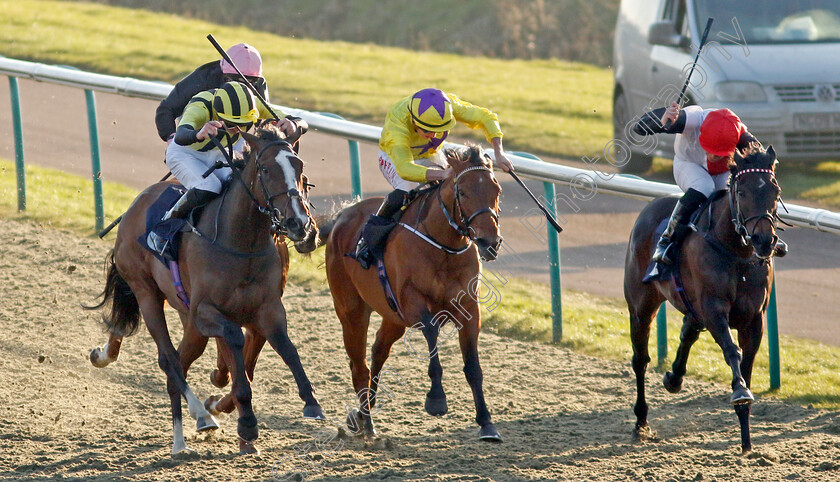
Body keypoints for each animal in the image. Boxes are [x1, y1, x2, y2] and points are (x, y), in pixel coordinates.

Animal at [84, 124, 322, 456]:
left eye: (300, 168)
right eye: (265, 169)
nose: (300, 224)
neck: (240, 243)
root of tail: (134, 206)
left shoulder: (268, 308)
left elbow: (286, 346)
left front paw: (311, 402)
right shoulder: (206, 311)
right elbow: (235, 343)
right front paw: (247, 422)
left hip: (186, 315)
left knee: (181, 360)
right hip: (147, 294)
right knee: (169, 360)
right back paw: (190, 428)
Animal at [320, 144, 506, 440]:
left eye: (496, 190)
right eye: (463, 192)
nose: (490, 241)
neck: (443, 246)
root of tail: (342, 216)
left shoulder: (469, 308)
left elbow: (473, 368)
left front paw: (487, 423)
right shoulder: (412, 302)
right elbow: (431, 332)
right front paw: (436, 399)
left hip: (392, 316)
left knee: (378, 350)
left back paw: (363, 412)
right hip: (351, 309)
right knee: (358, 363)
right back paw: (367, 422)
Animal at [624, 143, 780, 452]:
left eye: (775, 191)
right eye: (742, 192)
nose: (764, 241)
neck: (736, 253)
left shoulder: (754, 318)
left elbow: (747, 362)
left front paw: (747, 440)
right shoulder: (713, 309)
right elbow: (733, 352)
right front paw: (740, 394)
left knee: (688, 330)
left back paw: (674, 378)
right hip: (640, 305)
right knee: (640, 359)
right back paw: (641, 422)